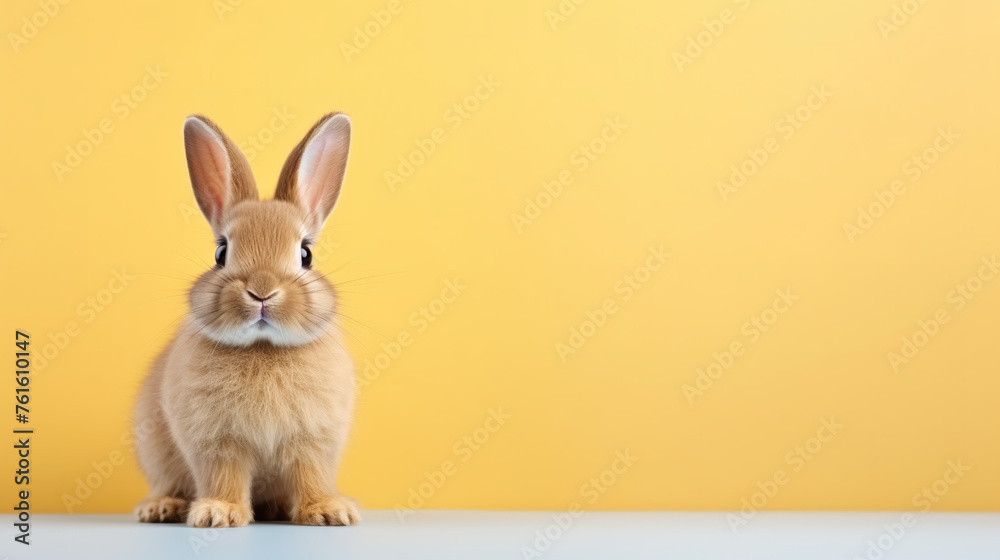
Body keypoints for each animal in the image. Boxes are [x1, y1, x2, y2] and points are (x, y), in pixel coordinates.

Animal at [132, 113, 359, 527]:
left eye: (306, 254)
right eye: (221, 253)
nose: (262, 291)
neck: (263, 346)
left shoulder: (312, 441)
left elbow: (310, 474)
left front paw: (329, 512)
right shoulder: (217, 442)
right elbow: (224, 476)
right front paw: (217, 514)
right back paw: (160, 508)